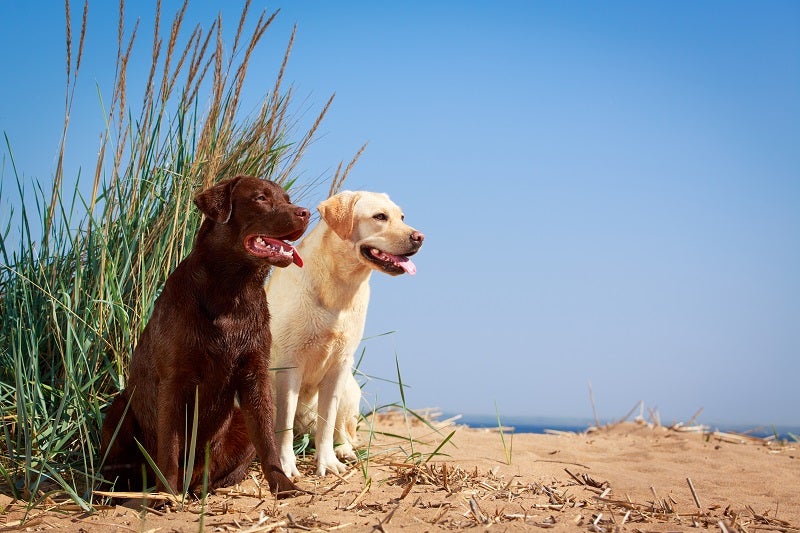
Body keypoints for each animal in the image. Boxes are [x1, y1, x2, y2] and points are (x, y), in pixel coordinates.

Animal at [101, 177, 308, 496]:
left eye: (287, 199)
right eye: (260, 198)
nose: (305, 213)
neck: (233, 293)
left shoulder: (255, 373)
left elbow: (268, 441)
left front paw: (283, 485)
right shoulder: (174, 380)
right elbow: (169, 445)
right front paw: (166, 495)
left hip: (237, 424)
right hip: (119, 408)